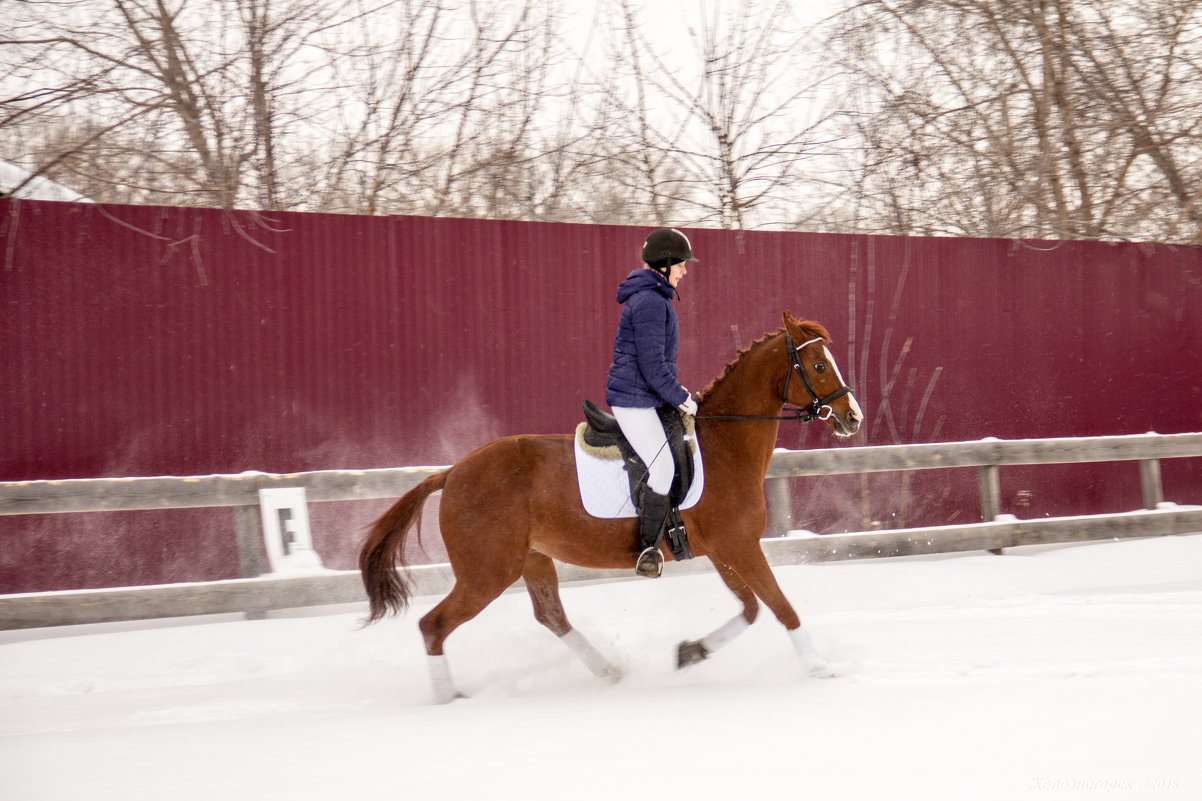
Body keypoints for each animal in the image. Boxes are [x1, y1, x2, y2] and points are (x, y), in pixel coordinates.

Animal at [358, 310, 865, 697]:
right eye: (819, 367)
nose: (852, 418)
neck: (725, 444)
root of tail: (453, 472)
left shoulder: (724, 551)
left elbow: (752, 609)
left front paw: (690, 653)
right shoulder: (739, 546)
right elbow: (780, 606)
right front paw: (820, 668)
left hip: (532, 559)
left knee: (551, 616)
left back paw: (610, 671)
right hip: (487, 573)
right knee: (434, 625)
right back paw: (448, 698)